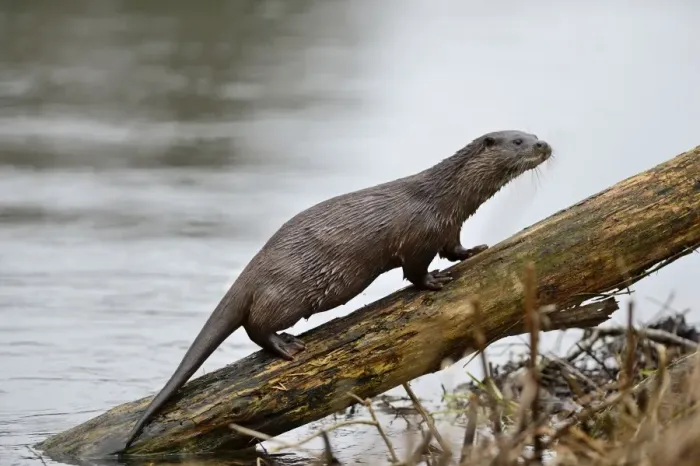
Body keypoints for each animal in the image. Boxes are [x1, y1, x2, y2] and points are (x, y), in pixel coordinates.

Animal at [120, 130, 552, 451]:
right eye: (518, 141)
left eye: (532, 133)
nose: (544, 145)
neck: (445, 198)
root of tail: (254, 268)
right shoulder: (419, 236)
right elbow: (414, 271)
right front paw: (434, 282)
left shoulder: (448, 227)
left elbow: (454, 248)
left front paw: (473, 251)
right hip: (287, 293)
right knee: (256, 324)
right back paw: (286, 345)